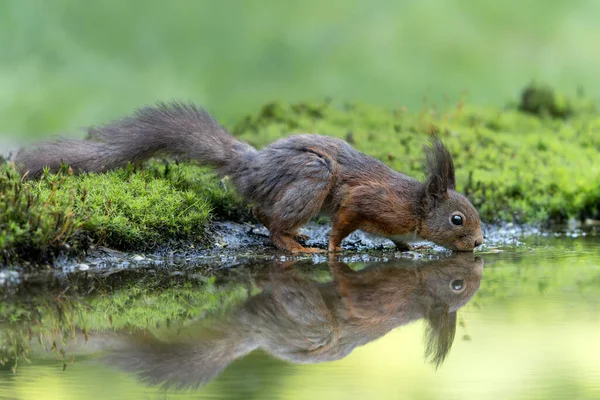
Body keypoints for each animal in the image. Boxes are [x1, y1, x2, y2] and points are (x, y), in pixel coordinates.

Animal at [14, 102, 482, 253]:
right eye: (457, 219)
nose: (479, 243)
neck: (415, 205)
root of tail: (254, 168)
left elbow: (402, 241)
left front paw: (412, 247)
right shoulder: (369, 201)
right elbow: (343, 222)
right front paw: (333, 249)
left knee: (260, 211)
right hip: (312, 177)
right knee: (272, 222)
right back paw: (295, 247)